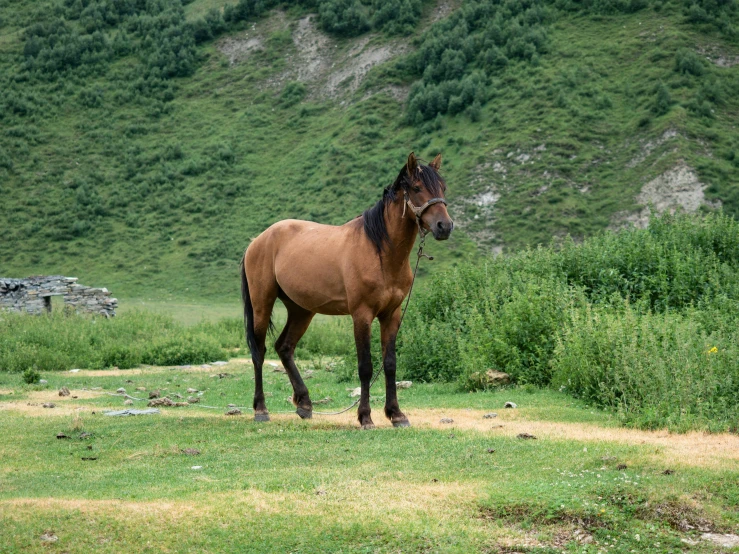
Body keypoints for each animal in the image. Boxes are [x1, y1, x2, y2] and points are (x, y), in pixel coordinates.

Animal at [241, 151, 450, 426]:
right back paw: (261, 410)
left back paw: (305, 404)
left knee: (284, 348)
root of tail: (257, 241)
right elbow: (365, 366)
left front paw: (396, 414)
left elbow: (390, 363)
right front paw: (365, 417)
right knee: (260, 351)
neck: (380, 251)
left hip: (301, 310)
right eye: (417, 188)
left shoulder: (391, 315)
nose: (444, 226)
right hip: (262, 304)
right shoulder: (361, 315)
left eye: (443, 188)